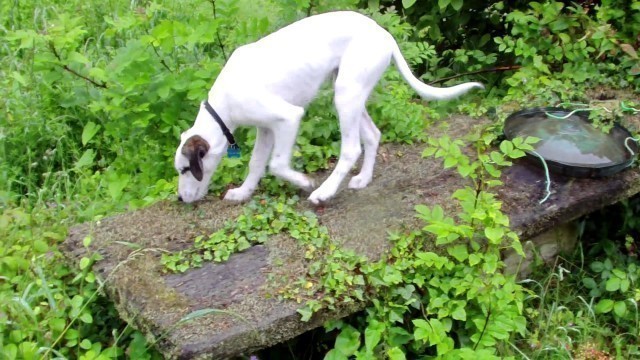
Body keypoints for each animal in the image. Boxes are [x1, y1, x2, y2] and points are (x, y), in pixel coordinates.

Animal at [172, 10, 482, 202]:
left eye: (185, 170)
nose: (180, 198)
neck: (222, 106)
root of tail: (383, 33)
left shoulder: (288, 118)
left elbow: (277, 164)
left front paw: (303, 181)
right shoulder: (266, 129)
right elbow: (257, 163)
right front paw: (243, 192)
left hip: (345, 94)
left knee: (351, 148)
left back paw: (325, 191)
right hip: (352, 92)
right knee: (373, 135)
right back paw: (363, 179)